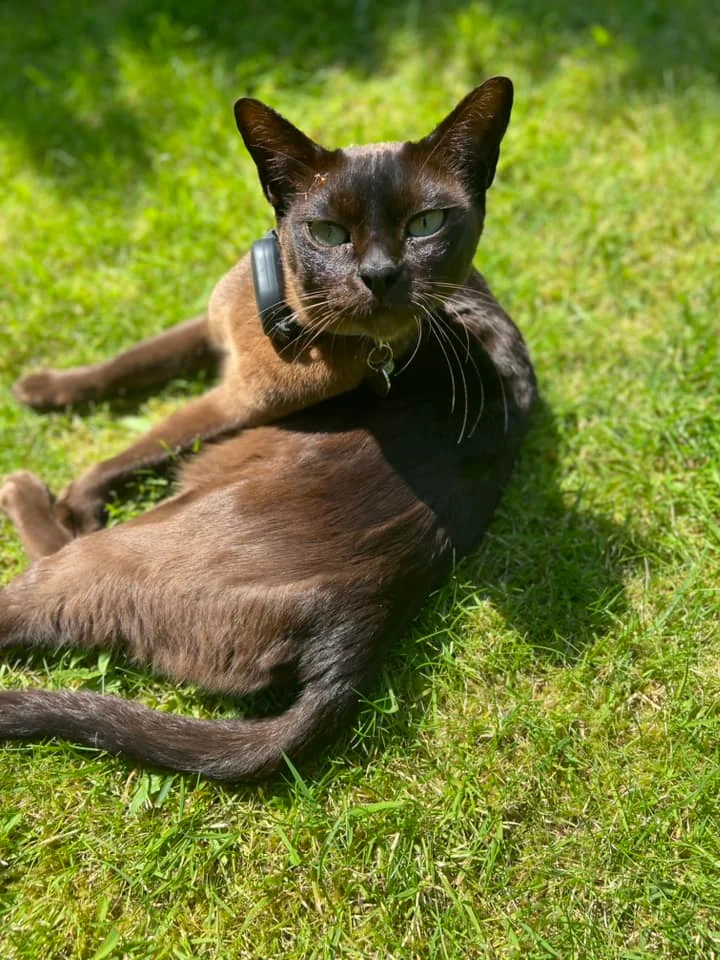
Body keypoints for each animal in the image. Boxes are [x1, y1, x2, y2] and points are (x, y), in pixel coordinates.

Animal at [0, 75, 536, 780]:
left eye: (425, 224)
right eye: (328, 232)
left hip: (120, 547)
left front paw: (79, 491)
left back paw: (30, 490)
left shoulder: (234, 404)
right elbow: (128, 365)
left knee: (48, 569)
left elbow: (139, 443)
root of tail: (355, 631)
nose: (380, 275)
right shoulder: (207, 334)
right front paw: (40, 391)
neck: (283, 322)